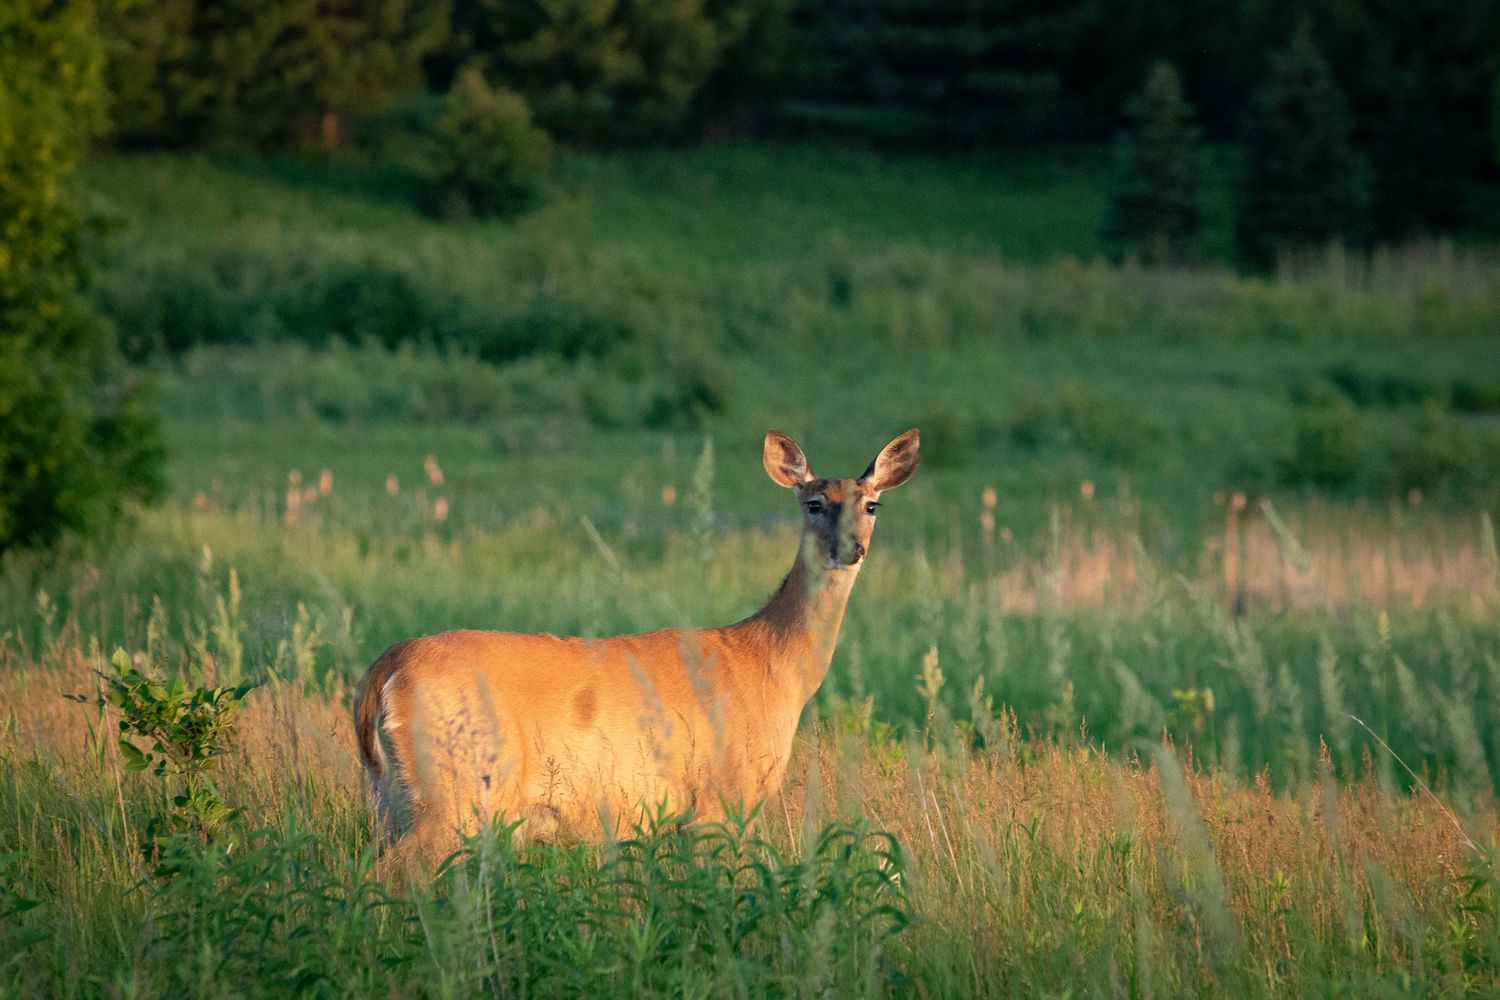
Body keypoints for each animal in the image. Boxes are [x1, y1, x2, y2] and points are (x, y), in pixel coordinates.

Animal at [352, 429, 919, 861]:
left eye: (872, 504)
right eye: (814, 504)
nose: (850, 548)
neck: (772, 666)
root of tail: (390, 663)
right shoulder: (721, 797)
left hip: (395, 796)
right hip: (456, 790)